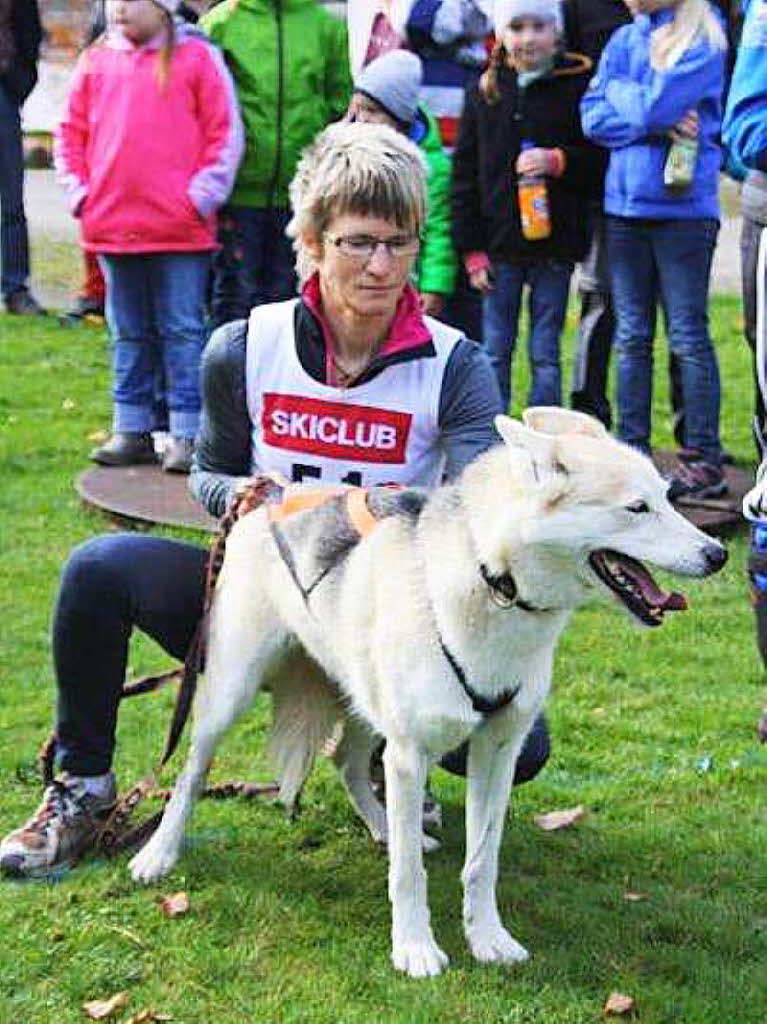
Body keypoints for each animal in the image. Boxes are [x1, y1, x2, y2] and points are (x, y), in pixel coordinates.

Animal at [130, 405, 725, 974]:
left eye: (667, 498)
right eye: (637, 508)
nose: (717, 554)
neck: (496, 582)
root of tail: (272, 493)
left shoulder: (496, 751)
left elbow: (483, 860)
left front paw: (487, 938)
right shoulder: (411, 754)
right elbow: (408, 876)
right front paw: (415, 948)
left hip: (366, 706)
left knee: (347, 763)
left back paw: (391, 829)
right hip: (230, 696)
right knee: (190, 775)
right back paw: (159, 854)